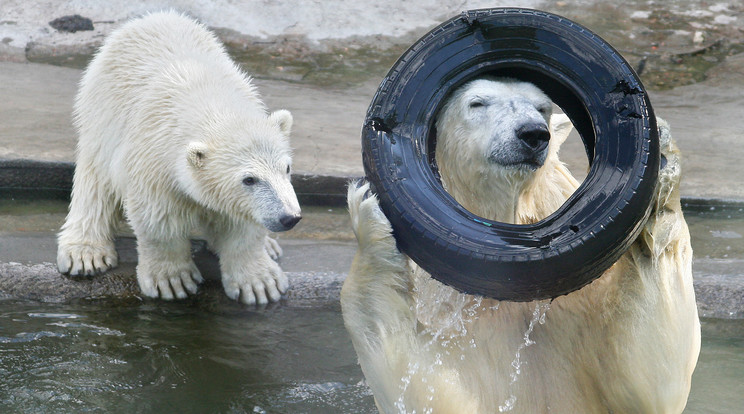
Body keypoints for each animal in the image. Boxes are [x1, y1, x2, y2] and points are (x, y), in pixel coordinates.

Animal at [57, 11, 302, 306]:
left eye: (286, 168)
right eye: (249, 179)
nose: (289, 217)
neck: (209, 100)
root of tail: (151, 17)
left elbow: (240, 223)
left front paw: (260, 283)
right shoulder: (153, 158)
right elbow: (158, 217)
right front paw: (173, 280)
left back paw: (270, 246)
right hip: (101, 117)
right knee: (95, 182)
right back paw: (85, 253)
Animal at [340, 78, 700, 414]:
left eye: (543, 107)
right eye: (477, 103)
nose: (532, 134)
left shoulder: (578, 309)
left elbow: (646, 382)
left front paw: (664, 163)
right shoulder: (448, 315)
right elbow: (428, 390)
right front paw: (369, 214)